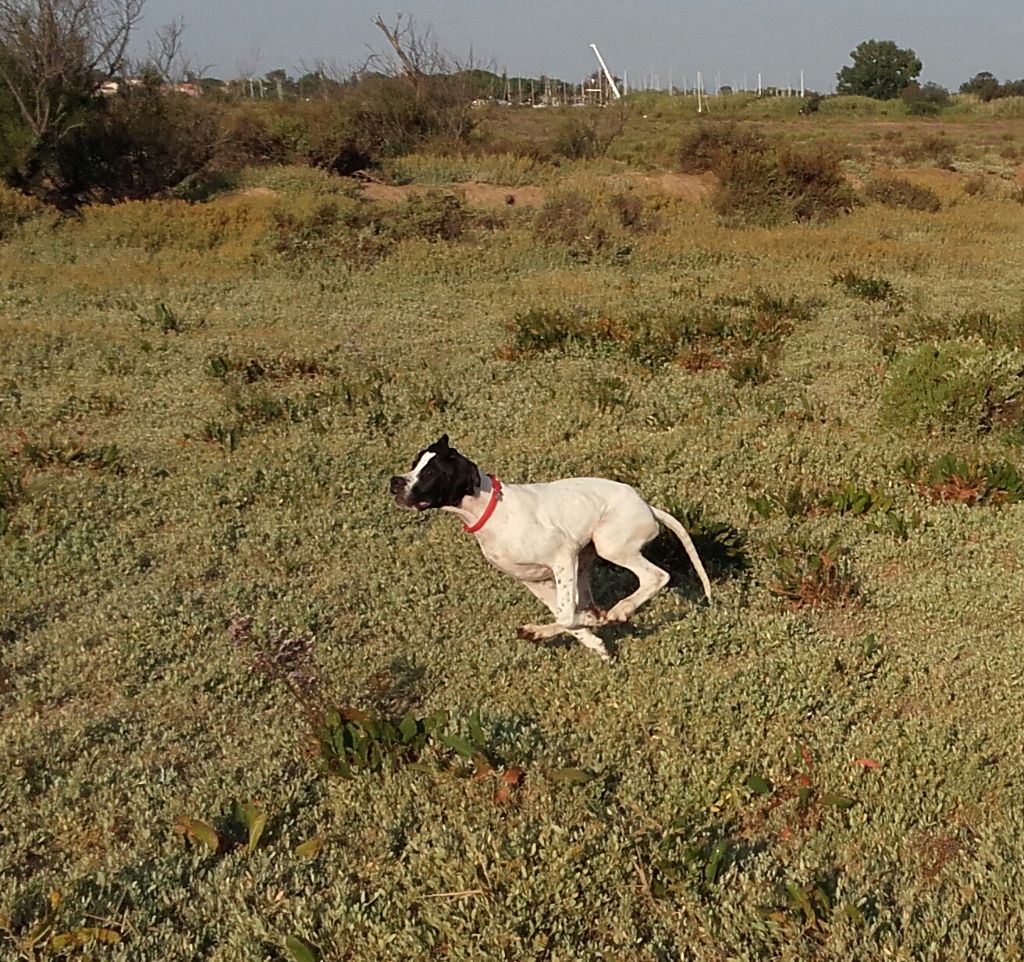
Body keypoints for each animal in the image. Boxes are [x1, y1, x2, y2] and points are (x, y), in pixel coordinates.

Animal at [391, 438, 712, 659]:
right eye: (415, 462)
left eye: (431, 472)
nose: (395, 482)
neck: (491, 510)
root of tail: (647, 506)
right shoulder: (535, 579)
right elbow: (566, 616)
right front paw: (594, 640)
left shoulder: (562, 555)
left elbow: (567, 615)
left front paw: (597, 621)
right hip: (586, 558)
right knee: (585, 601)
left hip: (609, 545)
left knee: (655, 577)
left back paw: (619, 610)